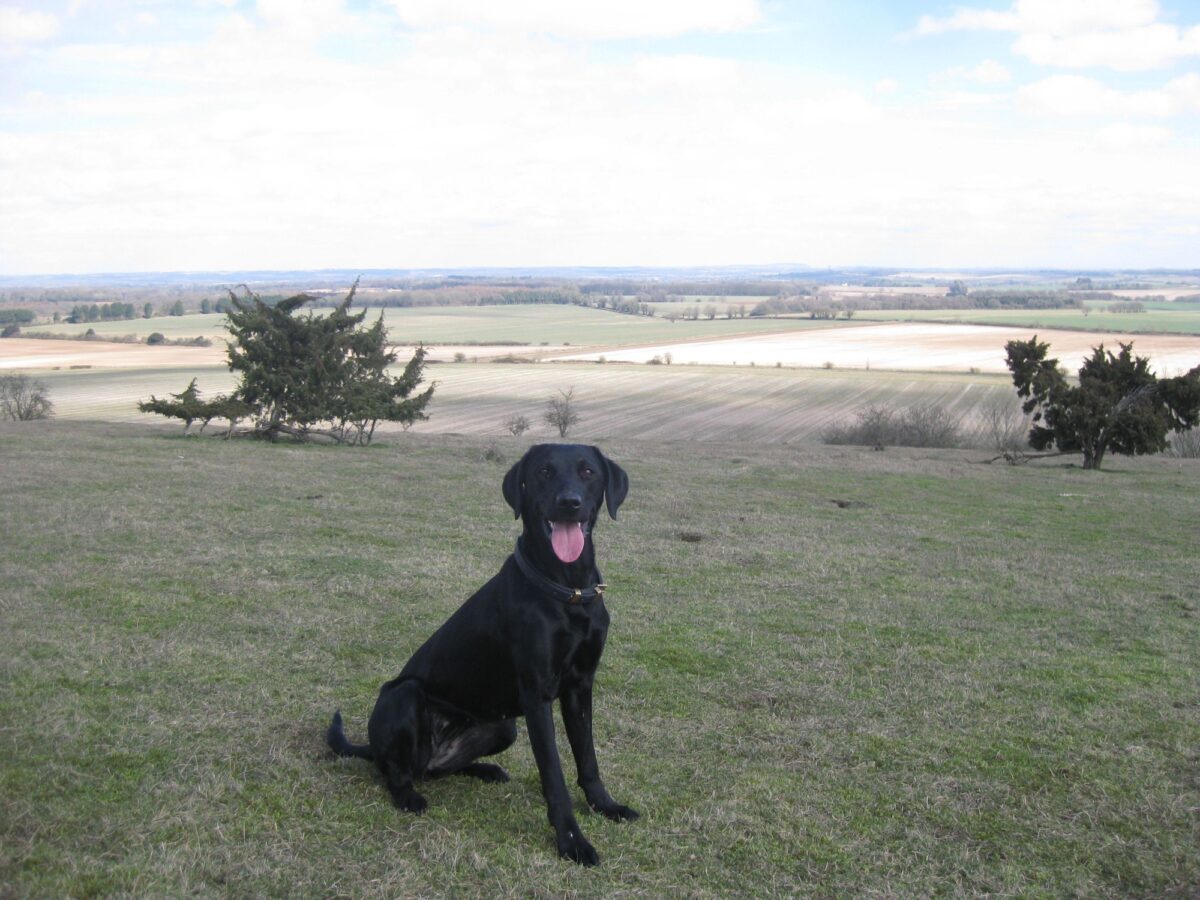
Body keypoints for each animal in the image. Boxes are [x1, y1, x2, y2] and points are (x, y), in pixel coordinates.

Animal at [324, 444, 633, 868]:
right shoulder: (537, 696)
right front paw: (572, 841)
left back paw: (484, 770)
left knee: (435, 769)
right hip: (402, 696)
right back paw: (408, 796)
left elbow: (588, 759)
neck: (567, 592)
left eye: (588, 472)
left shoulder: (580, 687)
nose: (568, 503)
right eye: (543, 472)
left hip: (503, 727)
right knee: (397, 772)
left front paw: (605, 806)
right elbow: (553, 774)